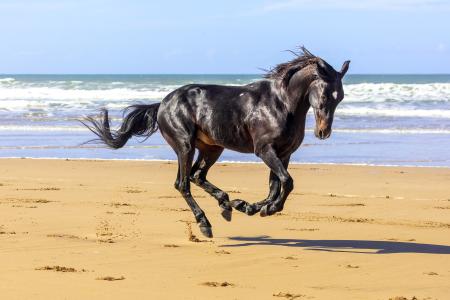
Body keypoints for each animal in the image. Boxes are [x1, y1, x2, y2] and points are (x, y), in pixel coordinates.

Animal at [84, 47, 352, 238]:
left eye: (340, 97)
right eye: (325, 95)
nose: (323, 132)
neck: (281, 104)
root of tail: (162, 104)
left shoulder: (283, 154)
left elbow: (276, 186)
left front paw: (254, 207)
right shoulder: (264, 150)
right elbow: (286, 182)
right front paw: (265, 208)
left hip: (212, 148)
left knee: (197, 176)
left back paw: (228, 204)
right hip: (185, 146)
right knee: (183, 183)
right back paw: (205, 223)